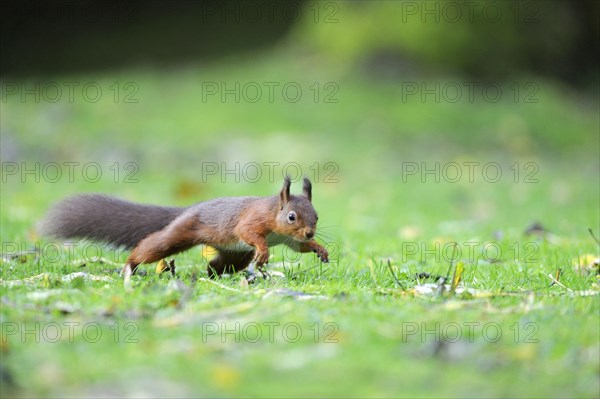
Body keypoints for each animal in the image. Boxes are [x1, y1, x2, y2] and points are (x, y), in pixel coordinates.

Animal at [39, 177, 330, 278]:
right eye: (291, 217)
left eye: (316, 217)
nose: (310, 232)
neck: (273, 215)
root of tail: (189, 209)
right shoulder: (252, 220)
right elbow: (248, 233)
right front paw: (263, 249)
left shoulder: (290, 240)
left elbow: (300, 247)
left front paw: (319, 248)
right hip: (181, 233)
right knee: (151, 247)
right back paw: (129, 266)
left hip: (235, 254)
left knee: (217, 265)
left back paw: (215, 276)